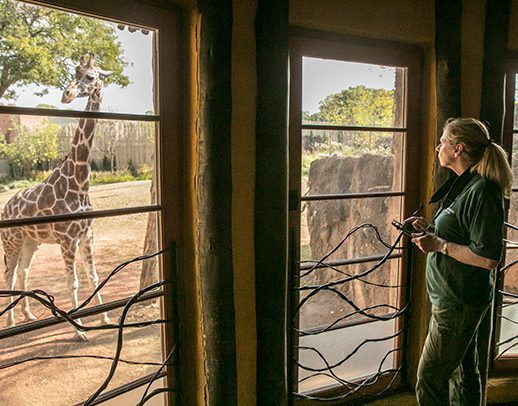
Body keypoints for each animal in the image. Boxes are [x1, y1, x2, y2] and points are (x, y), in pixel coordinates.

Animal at [2, 53, 112, 340]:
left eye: (90, 76)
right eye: (74, 73)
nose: (66, 95)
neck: (79, 182)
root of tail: (6, 208)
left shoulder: (87, 235)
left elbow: (94, 277)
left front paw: (105, 317)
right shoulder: (67, 239)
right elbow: (72, 282)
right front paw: (79, 330)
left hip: (31, 242)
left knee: (23, 272)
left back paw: (28, 315)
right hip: (12, 241)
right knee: (9, 274)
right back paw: (11, 322)